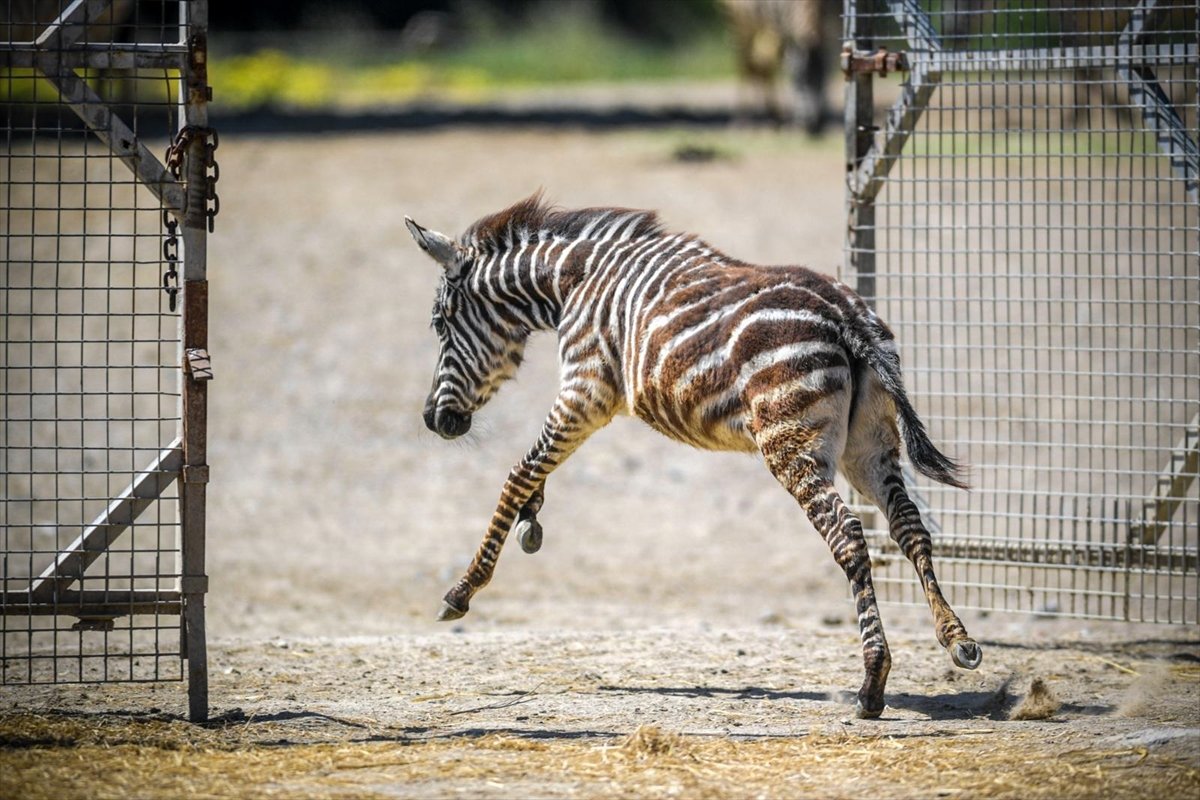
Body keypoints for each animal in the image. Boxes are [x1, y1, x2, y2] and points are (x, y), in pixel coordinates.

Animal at [405, 195, 982, 718]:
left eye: (440, 324)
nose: (435, 420)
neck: (572, 282)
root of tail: (848, 316)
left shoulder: (585, 390)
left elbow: (518, 472)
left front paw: (463, 589)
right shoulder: (583, 398)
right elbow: (536, 469)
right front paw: (532, 519)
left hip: (791, 443)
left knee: (849, 538)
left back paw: (871, 684)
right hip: (868, 447)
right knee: (910, 528)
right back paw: (956, 638)